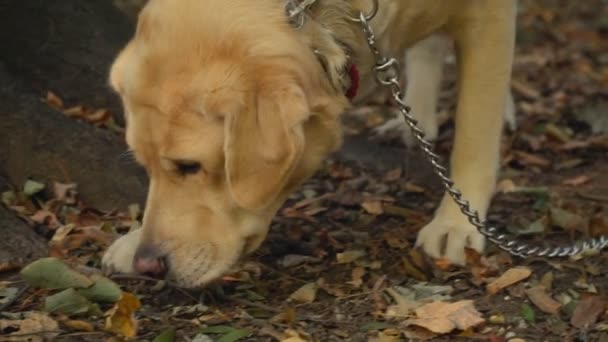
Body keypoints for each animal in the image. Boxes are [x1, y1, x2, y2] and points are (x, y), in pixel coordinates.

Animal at [102, 0, 516, 288]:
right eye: (145, 166)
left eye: (190, 166)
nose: (147, 264)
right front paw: (133, 240)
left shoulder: (487, 17)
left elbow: (475, 131)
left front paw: (458, 222)